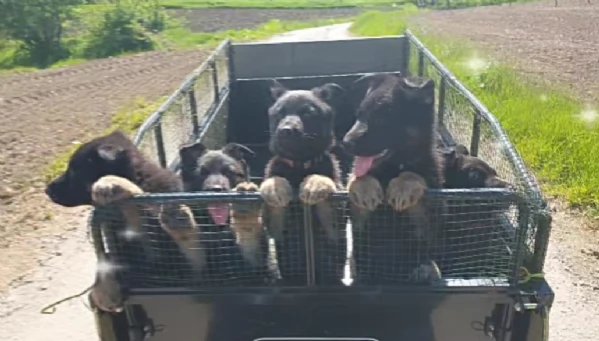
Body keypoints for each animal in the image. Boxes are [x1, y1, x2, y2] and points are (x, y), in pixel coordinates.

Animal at [45, 130, 199, 314]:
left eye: (75, 171)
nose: (47, 189)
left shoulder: (175, 266)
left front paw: (113, 183)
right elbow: (107, 257)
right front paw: (103, 290)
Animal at [342, 72, 446, 284]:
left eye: (382, 118)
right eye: (359, 116)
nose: (345, 143)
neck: (390, 170)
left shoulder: (425, 223)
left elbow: (413, 175)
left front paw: (403, 186)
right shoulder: (358, 221)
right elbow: (357, 177)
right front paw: (364, 187)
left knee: (428, 267)